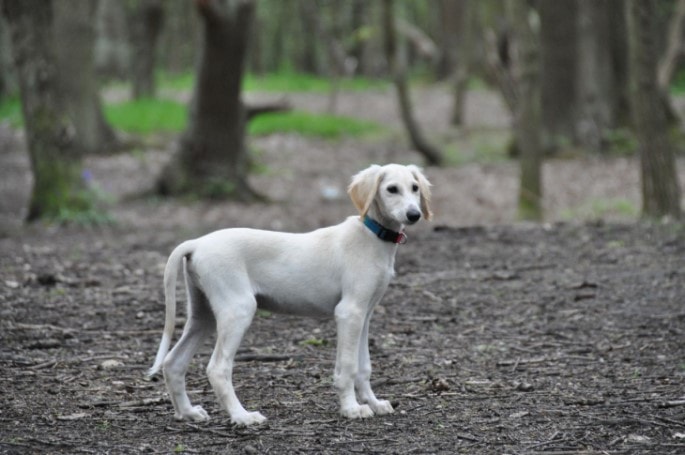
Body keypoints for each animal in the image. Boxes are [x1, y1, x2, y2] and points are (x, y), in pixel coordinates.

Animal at [147, 164, 430, 428]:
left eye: (415, 188)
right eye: (391, 189)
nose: (414, 215)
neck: (372, 235)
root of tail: (196, 242)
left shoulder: (365, 314)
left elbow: (364, 366)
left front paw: (373, 403)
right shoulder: (349, 313)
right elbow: (348, 366)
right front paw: (351, 408)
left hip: (203, 314)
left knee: (173, 362)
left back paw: (188, 412)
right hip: (238, 309)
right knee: (217, 369)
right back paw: (242, 416)